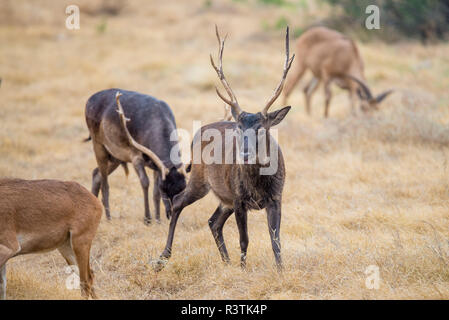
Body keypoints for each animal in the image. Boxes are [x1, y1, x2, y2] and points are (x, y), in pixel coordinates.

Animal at [85, 89, 186, 224]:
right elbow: (145, 182)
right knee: (105, 184)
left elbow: (155, 192)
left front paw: (158, 219)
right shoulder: (135, 156)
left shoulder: (157, 165)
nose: (171, 213)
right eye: (164, 188)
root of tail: (89, 100)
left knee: (96, 174)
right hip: (98, 144)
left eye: (183, 188)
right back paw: (108, 217)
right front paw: (147, 218)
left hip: (115, 156)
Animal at [153, 26, 294, 272]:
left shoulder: (276, 196)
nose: (245, 154)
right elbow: (244, 239)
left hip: (223, 196)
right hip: (200, 179)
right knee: (178, 201)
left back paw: (226, 260)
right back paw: (163, 258)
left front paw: (280, 270)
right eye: (239, 127)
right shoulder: (238, 198)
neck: (258, 184)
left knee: (213, 221)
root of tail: (198, 133)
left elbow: (275, 239)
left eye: (261, 128)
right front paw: (243, 269)